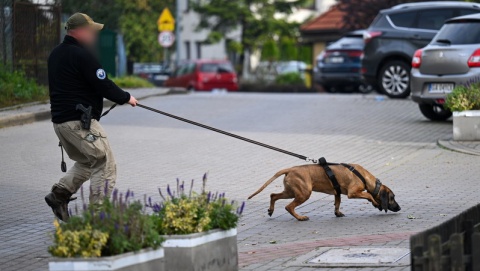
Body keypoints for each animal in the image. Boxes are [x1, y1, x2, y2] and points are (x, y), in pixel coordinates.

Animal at [248, 164, 402, 221]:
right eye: (392, 197)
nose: (399, 208)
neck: (364, 177)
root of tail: (290, 169)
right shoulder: (353, 193)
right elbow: (369, 195)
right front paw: (376, 203)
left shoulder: (337, 193)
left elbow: (337, 203)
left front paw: (337, 213)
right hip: (304, 193)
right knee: (288, 206)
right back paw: (300, 217)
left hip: (291, 192)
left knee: (273, 195)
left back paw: (271, 210)